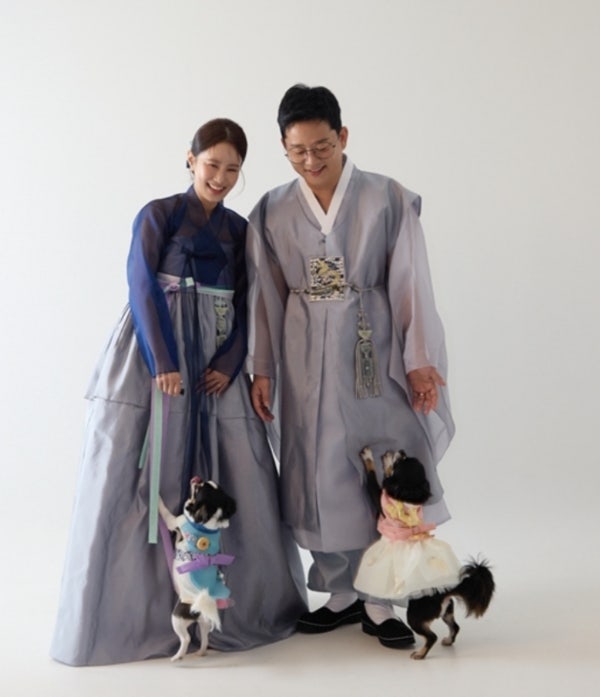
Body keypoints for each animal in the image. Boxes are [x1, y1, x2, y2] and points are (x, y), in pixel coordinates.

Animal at [159, 476, 237, 661]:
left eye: (198, 489)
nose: (197, 478)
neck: (207, 523)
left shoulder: (175, 521)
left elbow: (165, 512)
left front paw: (156, 497)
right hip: (204, 622)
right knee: (205, 637)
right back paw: (201, 652)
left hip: (177, 619)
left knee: (186, 638)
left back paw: (177, 657)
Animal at [358, 447, 495, 660]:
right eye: (404, 456)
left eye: (400, 461)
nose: (400, 450)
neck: (408, 498)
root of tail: (446, 590)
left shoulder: (379, 499)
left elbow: (374, 477)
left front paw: (369, 457)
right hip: (446, 611)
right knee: (455, 627)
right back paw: (448, 641)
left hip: (415, 615)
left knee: (431, 637)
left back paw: (420, 654)